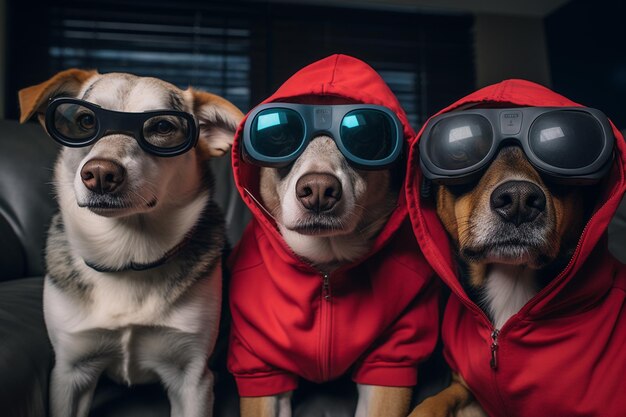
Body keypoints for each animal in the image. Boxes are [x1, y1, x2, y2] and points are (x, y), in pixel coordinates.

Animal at [17, 69, 241, 416]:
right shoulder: (70, 371)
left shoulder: (192, 378)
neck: (126, 256)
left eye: (162, 127)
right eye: (85, 120)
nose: (100, 173)